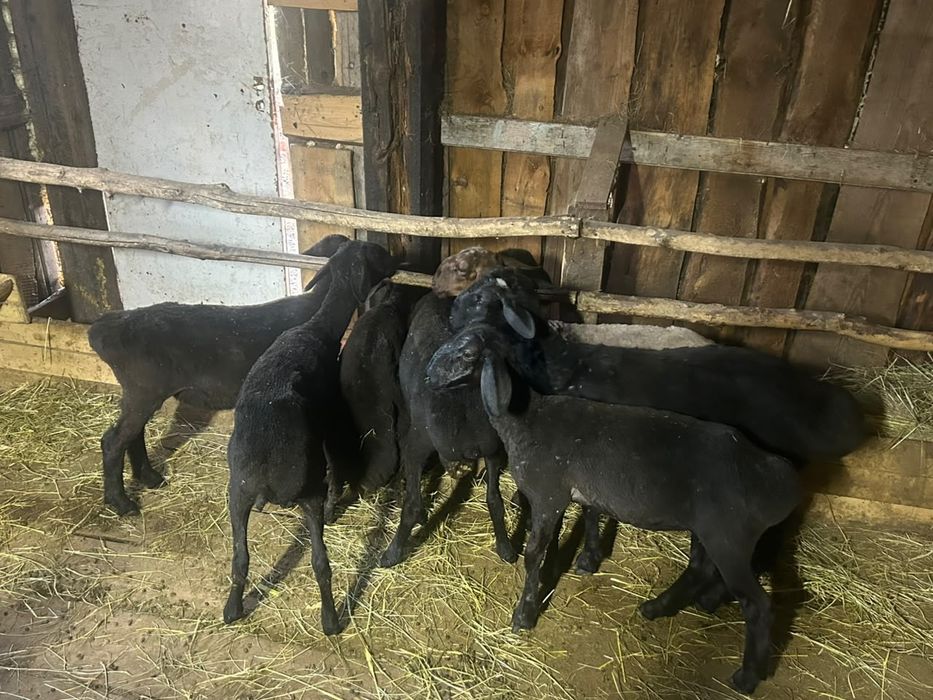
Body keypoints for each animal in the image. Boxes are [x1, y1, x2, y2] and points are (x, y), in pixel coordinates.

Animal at [88, 235, 350, 516]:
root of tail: (102, 329)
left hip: (140, 393)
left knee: (133, 435)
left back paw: (149, 478)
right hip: (144, 389)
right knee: (113, 441)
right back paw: (121, 503)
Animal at [223, 239, 397, 633]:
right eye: (376, 252)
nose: (396, 259)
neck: (317, 329)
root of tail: (268, 472)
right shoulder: (329, 424)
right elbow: (336, 464)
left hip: (237, 490)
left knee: (240, 557)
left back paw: (232, 609)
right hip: (307, 492)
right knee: (320, 562)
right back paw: (331, 620)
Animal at [426, 323, 801, 694]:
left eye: (469, 354)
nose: (429, 375)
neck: (526, 418)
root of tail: (780, 477)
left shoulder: (547, 495)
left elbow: (533, 554)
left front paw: (525, 614)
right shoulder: (566, 496)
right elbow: (579, 525)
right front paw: (574, 565)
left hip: (730, 537)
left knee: (757, 605)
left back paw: (748, 677)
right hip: (708, 530)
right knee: (699, 569)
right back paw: (657, 608)